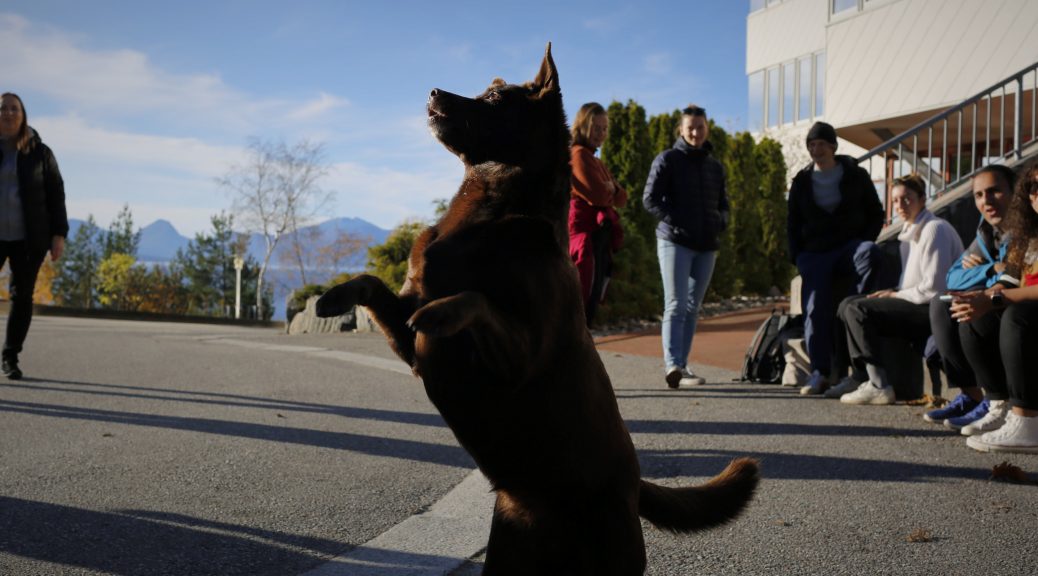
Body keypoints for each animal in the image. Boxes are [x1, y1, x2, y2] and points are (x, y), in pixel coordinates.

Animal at [316, 43, 758, 575]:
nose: (433, 90)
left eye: (495, 97)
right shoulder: (408, 340)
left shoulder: (520, 358)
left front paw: (441, 313)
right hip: (508, 555)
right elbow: (371, 282)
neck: (493, 206)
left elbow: (475, 300)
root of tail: (634, 487)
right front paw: (333, 297)